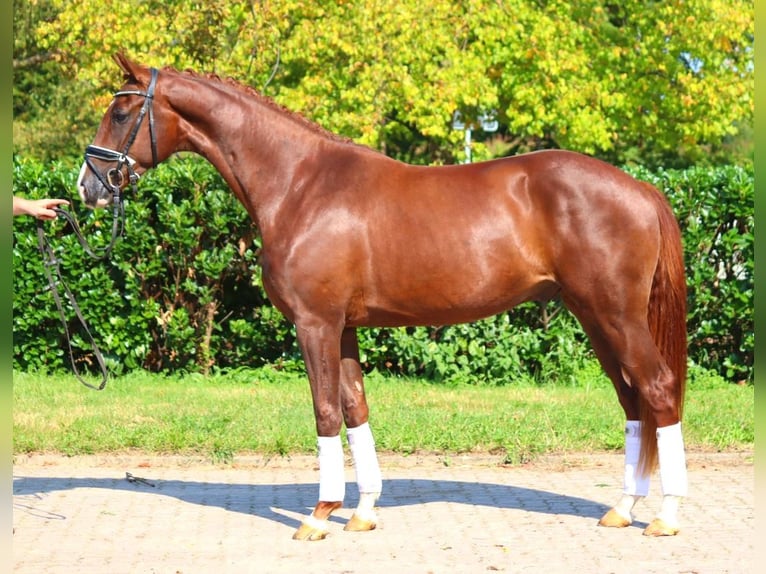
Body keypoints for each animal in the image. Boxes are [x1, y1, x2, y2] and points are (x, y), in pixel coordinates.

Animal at [76, 54, 688, 540]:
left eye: (122, 112)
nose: (87, 186)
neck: (299, 184)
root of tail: (640, 187)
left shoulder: (315, 324)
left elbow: (325, 411)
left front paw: (320, 514)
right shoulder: (344, 326)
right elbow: (355, 407)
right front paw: (364, 511)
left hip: (615, 316)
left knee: (657, 390)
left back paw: (665, 516)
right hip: (595, 318)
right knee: (632, 400)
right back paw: (623, 507)